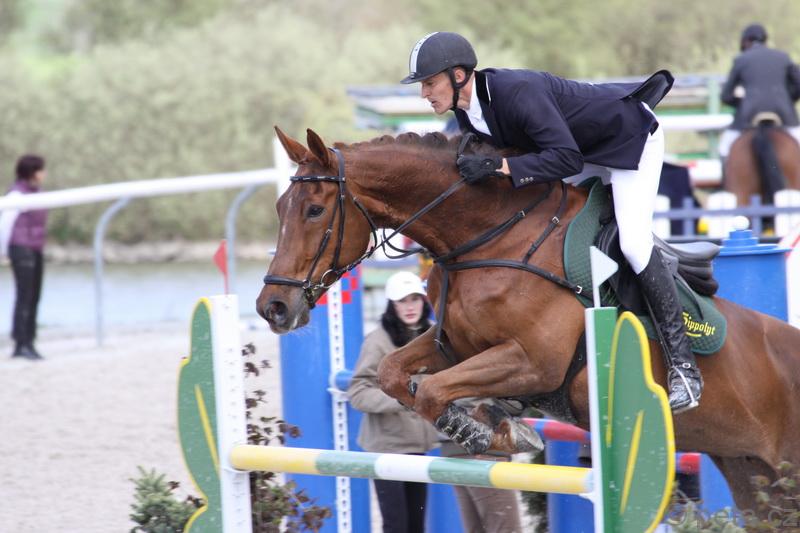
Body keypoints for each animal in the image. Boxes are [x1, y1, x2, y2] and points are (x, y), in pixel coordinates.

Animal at [257, 127, 800, 515]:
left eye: (313, 210)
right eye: (279, 208)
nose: (272, 308)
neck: (492, 237)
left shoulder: (534, 361)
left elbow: (431, 392)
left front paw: (488, 434)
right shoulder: (454, 344)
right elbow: (395, 374)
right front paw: (493, 423)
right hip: (753, 479)